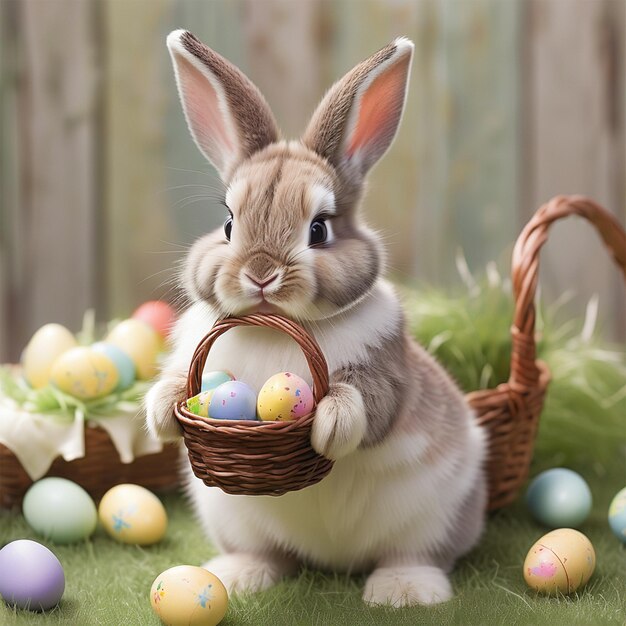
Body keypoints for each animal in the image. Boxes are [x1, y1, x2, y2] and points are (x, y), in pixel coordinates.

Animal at [144, 29, 486, 604]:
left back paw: (403, 592)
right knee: (267, 553)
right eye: (228, 224)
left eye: (320, 229)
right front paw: (162, 410)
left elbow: (366, 401)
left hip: (438, 513)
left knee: (416, 555)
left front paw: (329, 422)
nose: (261, 273)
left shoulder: (386, 371)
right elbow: (175, 381)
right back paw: (239, 578)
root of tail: (335, 560)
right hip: (233, 518)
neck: (274, 330)